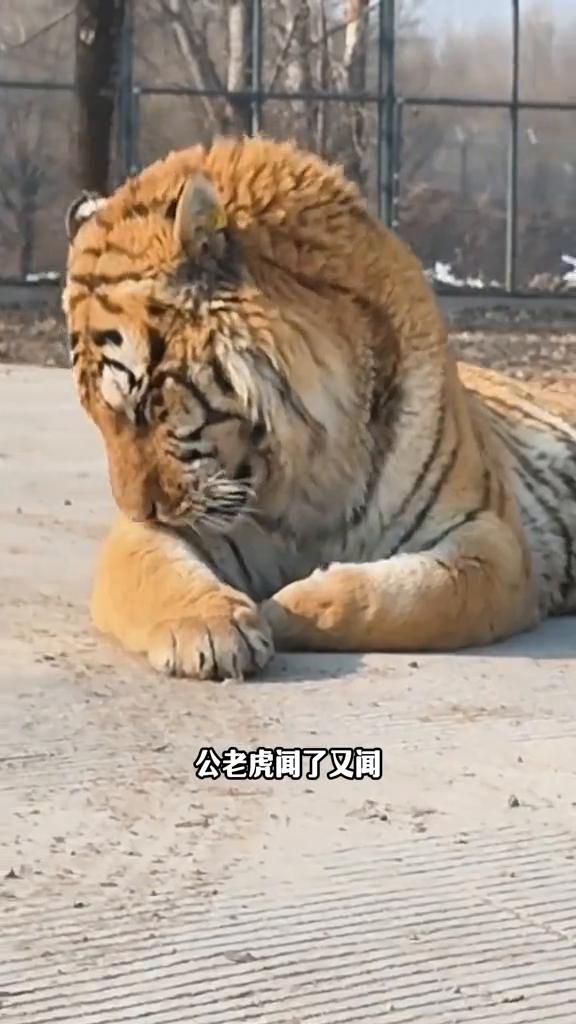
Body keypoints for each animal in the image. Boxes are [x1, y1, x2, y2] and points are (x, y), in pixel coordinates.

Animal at [62, 135, 576, 680]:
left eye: (146, 405)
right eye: (96, 417)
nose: (142, 512)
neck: (310, 465)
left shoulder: (489, 537)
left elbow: (416, 596)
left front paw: (285, 609)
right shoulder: (147, 540)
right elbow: (159, 574)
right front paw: (210, 629)